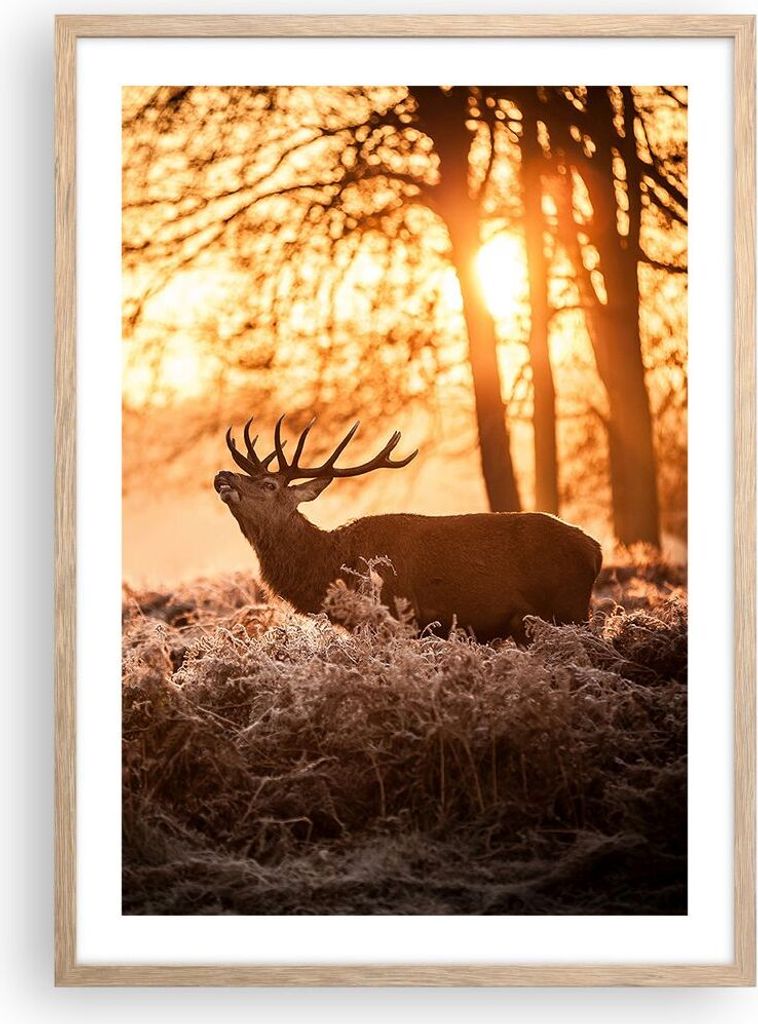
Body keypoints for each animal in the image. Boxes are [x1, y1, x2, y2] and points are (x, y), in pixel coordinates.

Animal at [214, 416, 602, 643]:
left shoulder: (397, 618)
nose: (223, 475)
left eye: (269, 485)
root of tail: (595, 550)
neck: (335, 566)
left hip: (569, 609)